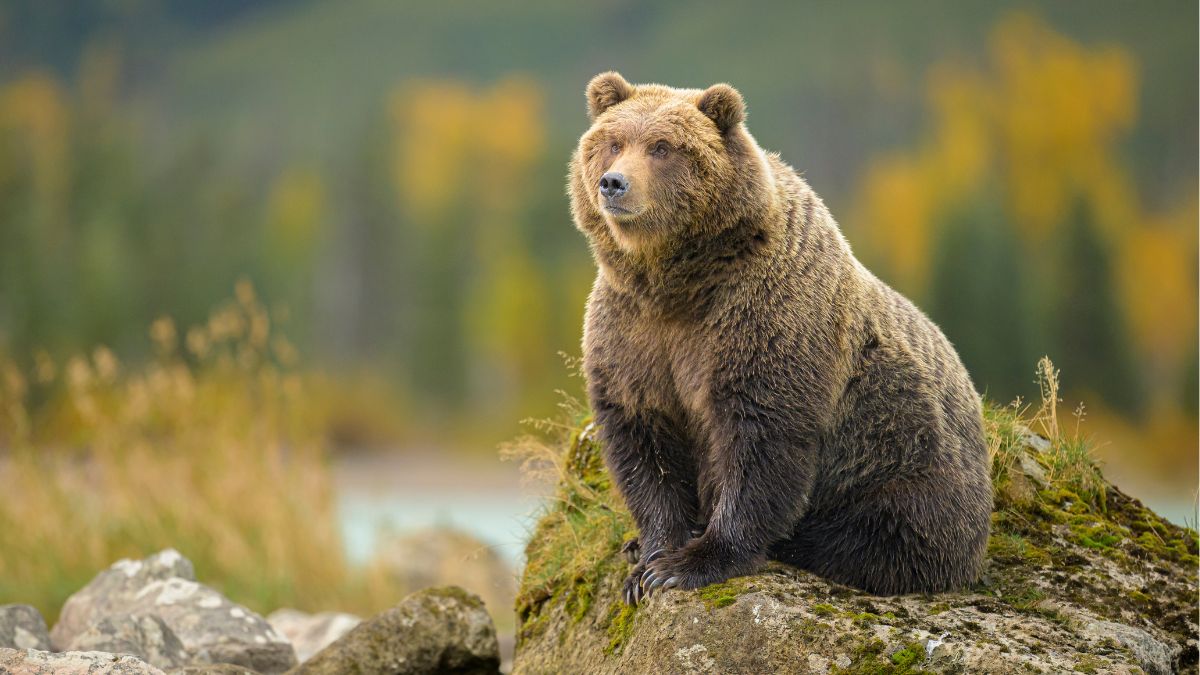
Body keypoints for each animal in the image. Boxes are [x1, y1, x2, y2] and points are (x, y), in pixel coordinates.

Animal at [569, 72, 993, 605]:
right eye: (613, 142)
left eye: (662, 147)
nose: (614, 183)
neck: (679, 280)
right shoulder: (633, 332)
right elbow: (644, 439)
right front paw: (647, 559)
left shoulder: (763, 317)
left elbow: (761, 438)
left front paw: (690, 562)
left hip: (904, 467)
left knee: (879, 536)